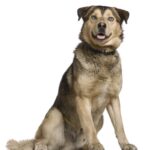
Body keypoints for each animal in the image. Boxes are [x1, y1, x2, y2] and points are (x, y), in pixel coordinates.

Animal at [6, 4, 137, 150]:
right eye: (94, 17)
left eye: (110, 18)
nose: (101, 25)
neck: (101, 53)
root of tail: (68, 145)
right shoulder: (83, 99)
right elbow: (89, 125)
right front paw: (96, 144)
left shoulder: (113, 98)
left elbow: (120, 126)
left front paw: (125, 144)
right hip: (54, 115)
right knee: (39, 139)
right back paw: (42, 146)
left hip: (100, 120)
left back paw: (84, 146)